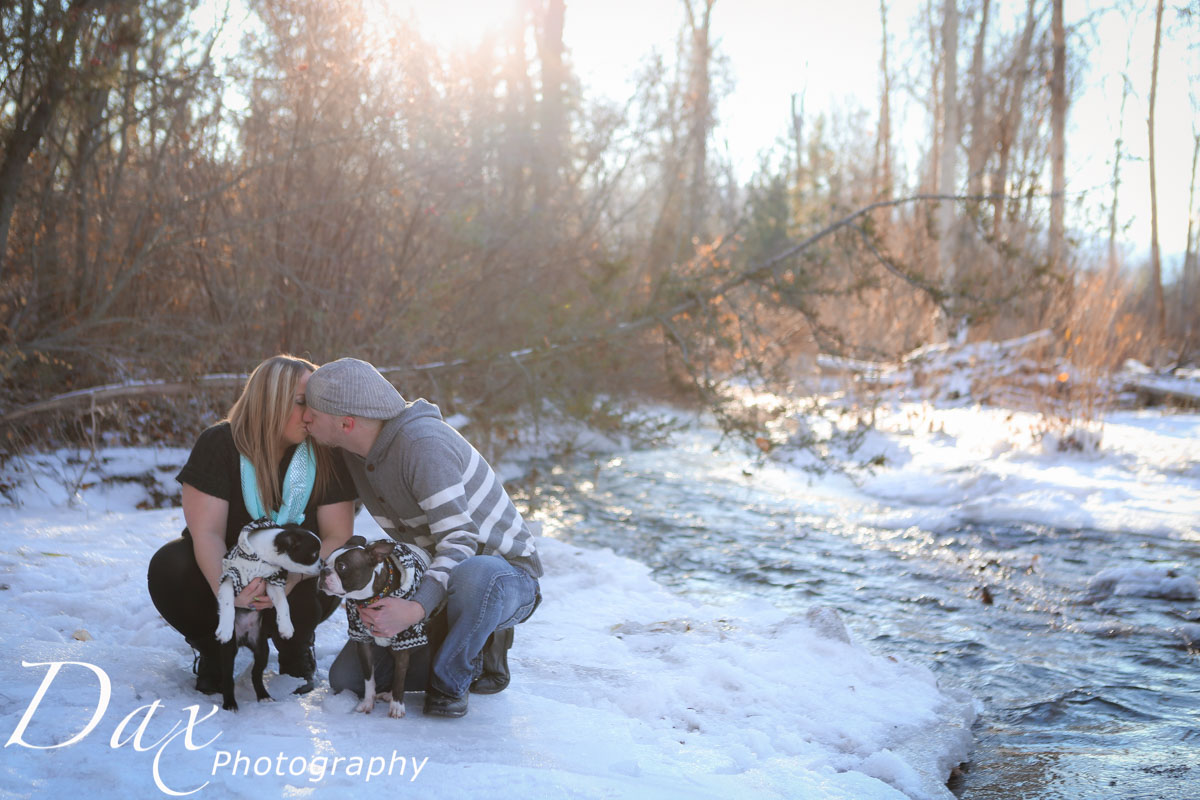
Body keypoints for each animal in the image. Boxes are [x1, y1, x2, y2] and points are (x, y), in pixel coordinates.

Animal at [213, 522, 321, 710]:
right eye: (314, 555)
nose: (323, 564)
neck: (263, 558)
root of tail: (244, 640)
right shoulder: (230, 578)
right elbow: (227, 603)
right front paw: (224, 629)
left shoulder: (273, 583)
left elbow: (283, 603)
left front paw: (286, 628)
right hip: (228, 652)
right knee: (227, 676)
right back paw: (230, 703)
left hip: (262, 649)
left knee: (256, 673)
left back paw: (264, 696)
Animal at [321, 537, 429, 719]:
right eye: (323, 562)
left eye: (341, 566)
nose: (323, 571)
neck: (371, 599)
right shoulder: (362, 641)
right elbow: (369, 678)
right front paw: (367, 702)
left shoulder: (405, 641)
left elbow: (399, 678)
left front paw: (397, 706)